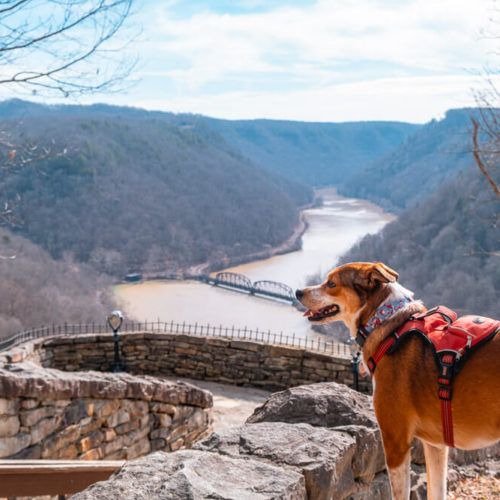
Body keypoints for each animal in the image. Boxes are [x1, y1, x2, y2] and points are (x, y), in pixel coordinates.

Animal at [294, 264, 498, 498]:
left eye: (331, 283)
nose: (298, 292)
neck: (386, 322)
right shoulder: (436, 445)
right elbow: (436, 491)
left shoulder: (395, 442)